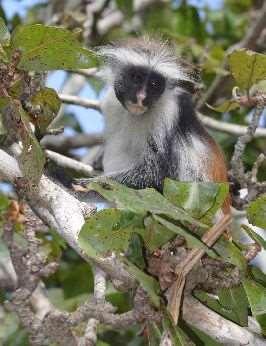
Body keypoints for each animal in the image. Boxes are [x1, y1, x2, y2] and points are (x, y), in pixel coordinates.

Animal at [80, 38, 230, 214]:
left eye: (154, 84)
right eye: (136, 78)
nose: (141, 97)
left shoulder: (168, 112)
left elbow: (155, 176)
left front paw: (79, 185)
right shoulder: (111, 104)